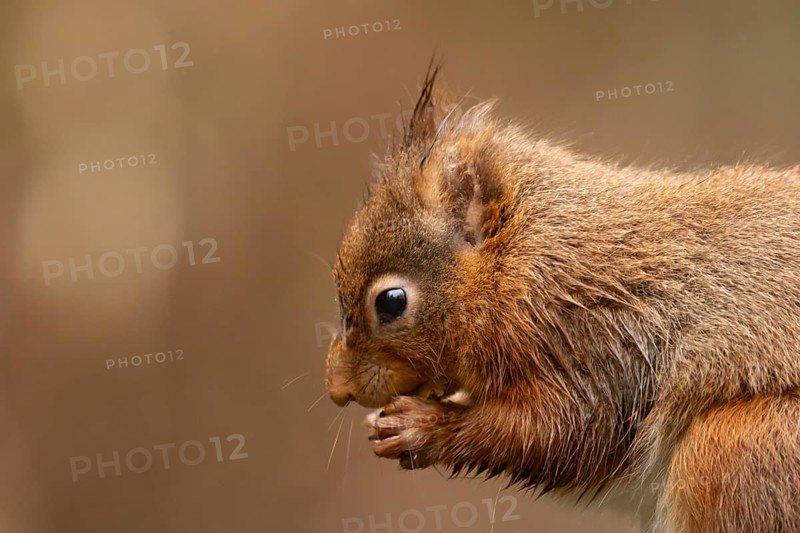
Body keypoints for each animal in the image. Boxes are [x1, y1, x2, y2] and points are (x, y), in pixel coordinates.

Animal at [324, 62, 800, 533]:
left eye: (391, 302)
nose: (338, 389)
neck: (522, 255)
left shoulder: (602, 337)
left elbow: (564, 433)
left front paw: (424, 426)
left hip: (735, 449)